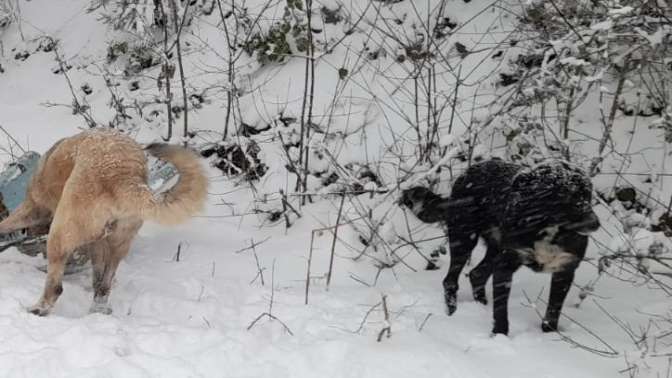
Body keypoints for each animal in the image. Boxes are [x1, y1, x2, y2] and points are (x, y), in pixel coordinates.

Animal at [0, 130, 207, 316]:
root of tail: (125, 177)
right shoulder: (97, 243)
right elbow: (98, 274)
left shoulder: (33, 208)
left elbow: (8, 223)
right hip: (119, 243)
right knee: (104, 284)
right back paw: (98, 308)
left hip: (60, 233)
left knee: (56, 285)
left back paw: (39, 308)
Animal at [402, 158, 600, 336]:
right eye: (566, 195)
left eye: (588, 194)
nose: (595, 224)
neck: (548, 227)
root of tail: (468, 172)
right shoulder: (506, 265)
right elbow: (500, 309)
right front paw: (500, 334)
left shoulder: (565, 269)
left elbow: (553, 310)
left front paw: (549, 334)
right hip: (464, 238)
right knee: (450, 280)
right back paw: (452, 312)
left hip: (495, 248)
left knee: (477, 274)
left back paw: (481, 305)